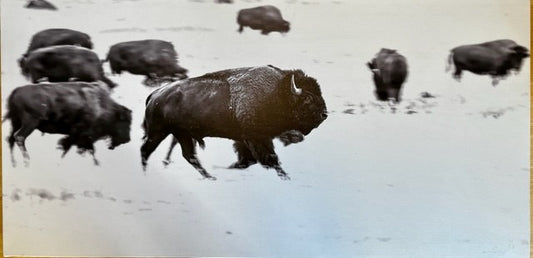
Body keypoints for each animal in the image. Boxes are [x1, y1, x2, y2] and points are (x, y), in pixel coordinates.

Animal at [3, 82, 132, 167]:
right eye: (125, 122)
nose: (127, 139)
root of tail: (16, 91)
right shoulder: (79, 134)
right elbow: (68, 147)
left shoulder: (81, 138)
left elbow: (84, 149)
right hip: (30, 122)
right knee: (19, 137)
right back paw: (27, 161)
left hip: (16, 122)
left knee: (11, 139)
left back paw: (14, 163)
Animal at [139, 65, 326, 180]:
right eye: (308, 99)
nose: (324, 114)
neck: (276, 92)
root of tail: (156, 94)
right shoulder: (256, 138)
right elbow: (270, 159)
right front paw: (286, 177)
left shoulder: (246, 139)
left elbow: (248, 160)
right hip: (159, 132)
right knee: (146, 150)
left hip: (181, 134)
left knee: (189, 156)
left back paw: (211, 177)